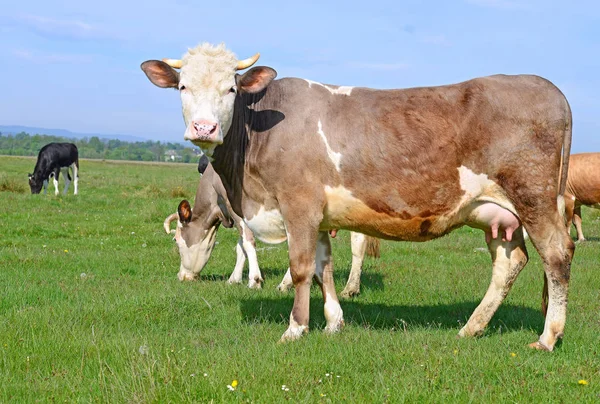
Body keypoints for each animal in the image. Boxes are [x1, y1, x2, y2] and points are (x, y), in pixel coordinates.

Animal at [163, 159, 380, 296]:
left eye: (176, 240)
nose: (181, 276)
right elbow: (240, 247)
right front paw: (234, 279)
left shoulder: (238, 208)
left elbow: (247, 243)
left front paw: (254, 280)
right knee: (358, 245)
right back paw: (350, 288)